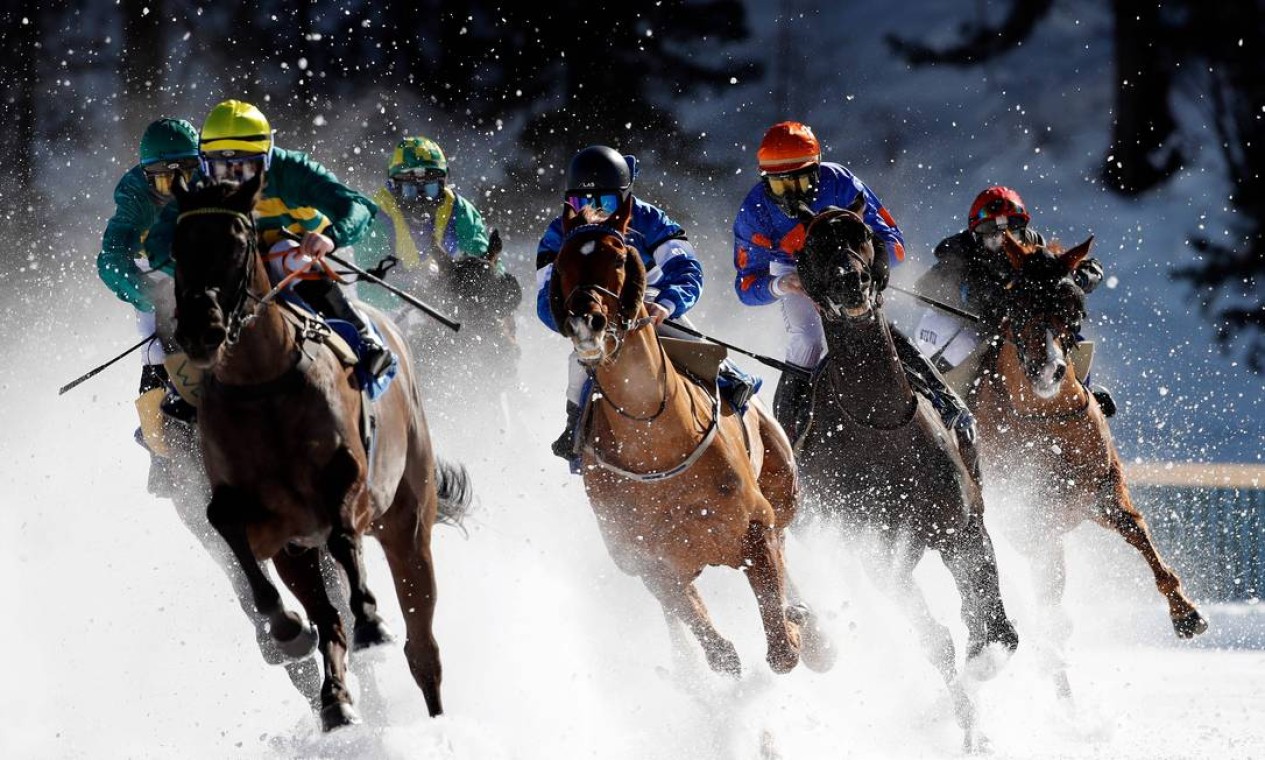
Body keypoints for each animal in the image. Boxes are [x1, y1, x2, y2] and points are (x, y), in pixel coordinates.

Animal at [170, 174, 473, 733]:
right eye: (177, 246)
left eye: (237, 243)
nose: (200, 330)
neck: (261, 383)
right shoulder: (273, 525)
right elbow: (225, 521)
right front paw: (286, 624)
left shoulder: (349, 481)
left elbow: (342, 532)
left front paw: (371, 617)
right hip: (301, 554)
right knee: (330, 619)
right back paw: (335, 700)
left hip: (408, 520)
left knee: (422, 645)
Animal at [543, 196, 829, 677]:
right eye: (561, 263)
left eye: (618, 257)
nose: (586, 324)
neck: (657, 444)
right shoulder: (651, 564)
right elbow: (720, 653)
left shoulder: (755, 524)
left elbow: (781, 646)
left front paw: (797, 625)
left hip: (784, 481)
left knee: (786, 534)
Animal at [789, 198, 1017, 748]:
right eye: (812, 245)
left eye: (861, 233)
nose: (850, 281)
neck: (880, 425)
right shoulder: (879, 558)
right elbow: (937, 642)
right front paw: (967, 727)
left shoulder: (962, 528)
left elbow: (991, 622)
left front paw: (982, 676)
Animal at [966, 233, 1204, 698]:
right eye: (1018, 302)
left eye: (1072, 305)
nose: (1049, 370)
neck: (1043, 417)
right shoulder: (1026, 515)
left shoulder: (1102, 491)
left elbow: (1136, 531)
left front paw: (1185, 612)